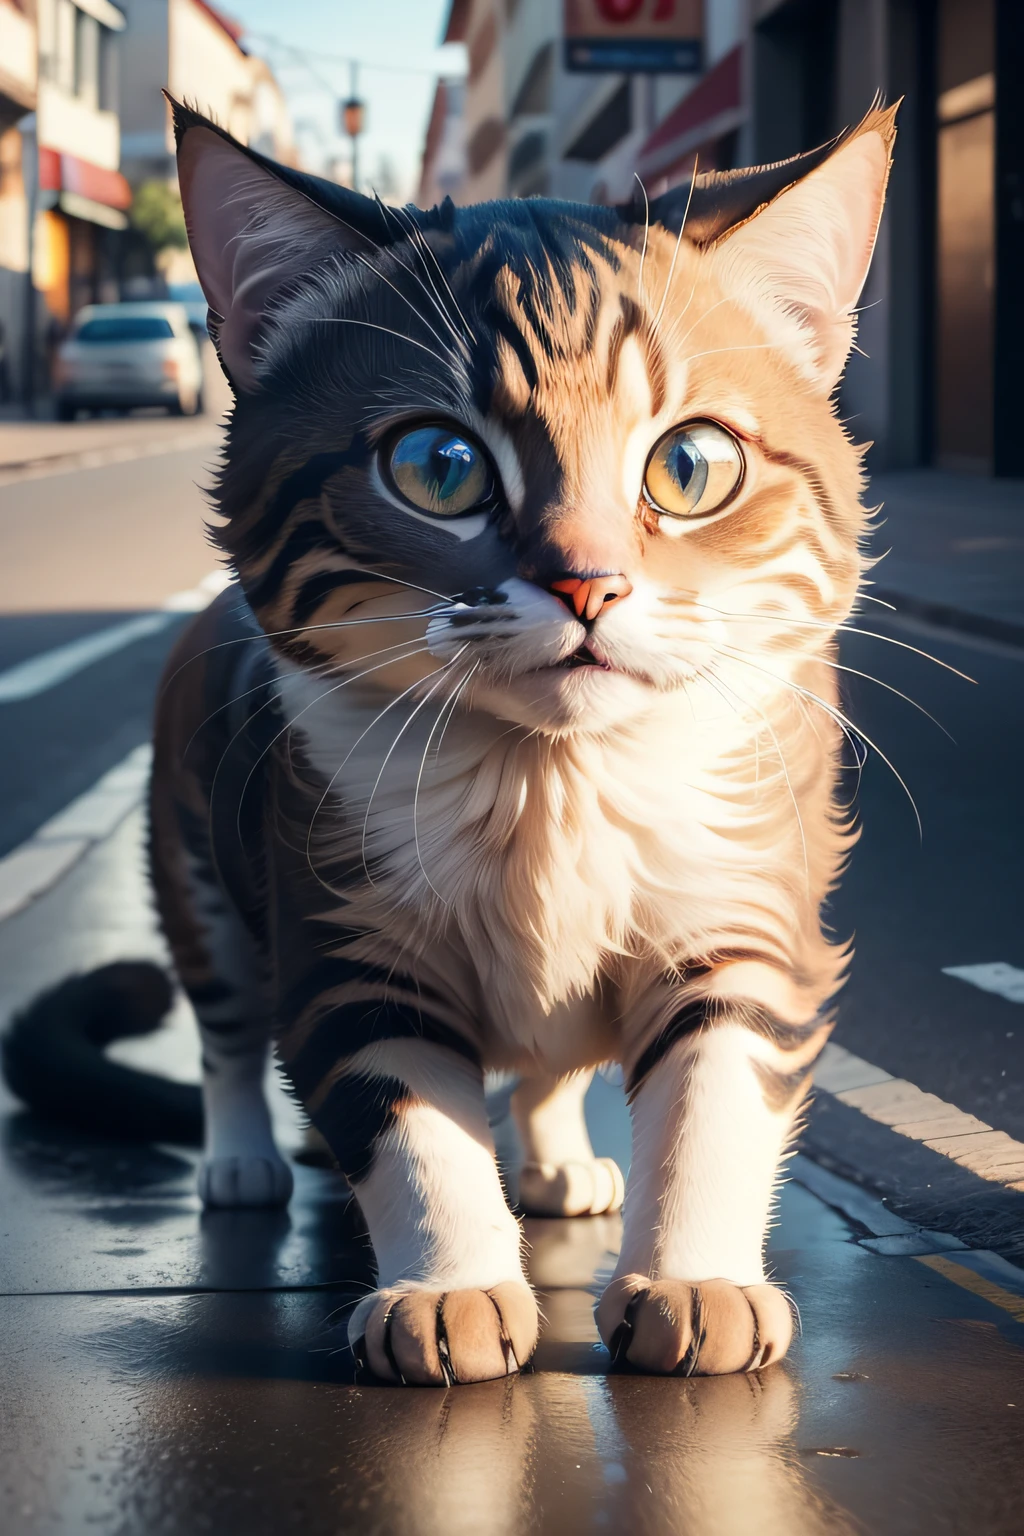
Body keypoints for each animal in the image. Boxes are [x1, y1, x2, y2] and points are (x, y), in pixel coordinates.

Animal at [4, 99, 890, 1382]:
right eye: (440, 467)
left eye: (689, 465)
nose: (588, 584)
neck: (552, 784)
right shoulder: (343, 925)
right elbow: (412, 1125)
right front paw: (451, 1287)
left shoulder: (742, 901)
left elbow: (715, 1092)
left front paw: (694, 1277)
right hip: (190, 853)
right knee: (227, 1027)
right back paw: (245, 1156)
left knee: (548, 1071)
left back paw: (560, 1161)